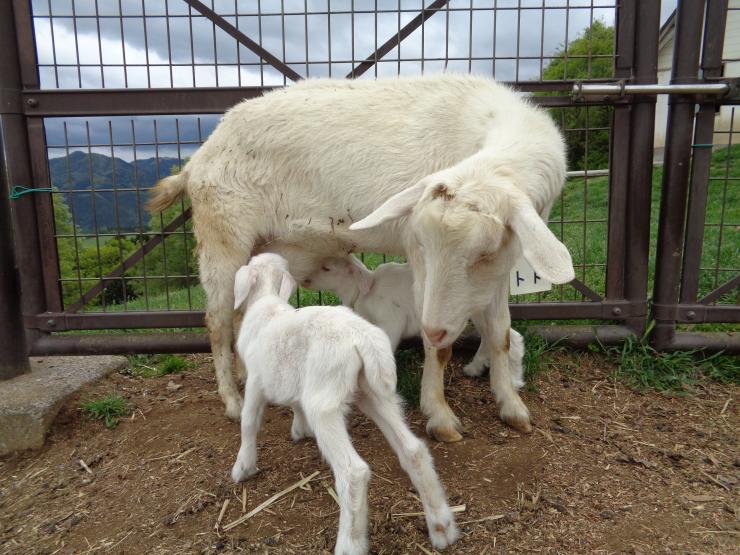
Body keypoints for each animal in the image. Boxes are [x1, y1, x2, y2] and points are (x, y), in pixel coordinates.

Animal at [146, 76, 572, 446]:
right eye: (423, 244)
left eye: (484, 253)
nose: (435, 328)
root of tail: (198, 159)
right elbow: (442, 350)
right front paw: (440, 416)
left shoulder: (499, 267)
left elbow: (500, 332)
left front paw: (512, 407)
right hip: (222, 232)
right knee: (217, 321)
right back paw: (232, 400)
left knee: (239, 312)